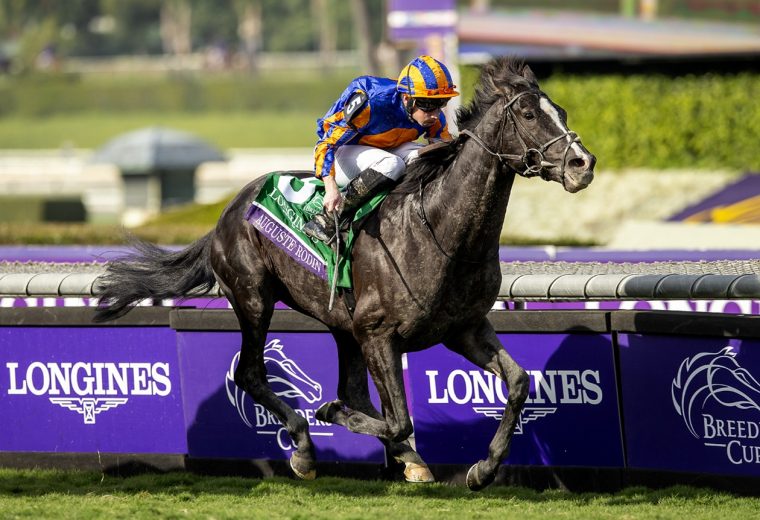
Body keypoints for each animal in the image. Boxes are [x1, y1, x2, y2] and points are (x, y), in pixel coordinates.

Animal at [93, 58, 592, 492]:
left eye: (562, 111)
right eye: (528, 113)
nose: (582, 164)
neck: (440, 232)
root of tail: (227, 210)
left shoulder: (462, 328)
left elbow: (518, 383)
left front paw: (482, 469)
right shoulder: (379, 333)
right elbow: (398, 419)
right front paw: (333, 417)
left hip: (343, 326)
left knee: (349, 388)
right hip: (254, 298)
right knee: (252, 373)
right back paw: (304, 448)